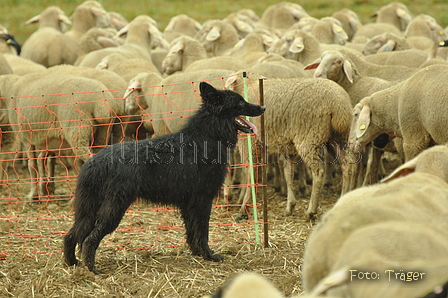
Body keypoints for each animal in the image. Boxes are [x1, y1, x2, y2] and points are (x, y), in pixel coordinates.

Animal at [64, 81, 264, 272]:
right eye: (240, 102)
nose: (262, 108)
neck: (206, 136)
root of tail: (96, 162)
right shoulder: (202, 201)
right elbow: (202, 232)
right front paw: (209, 256)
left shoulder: (189, 204)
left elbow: (192, 233)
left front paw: (197, 254)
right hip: (113, 209)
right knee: (89, 239)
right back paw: (92, 269)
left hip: (88, 211)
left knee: (70, 235)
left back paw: (72, 263)